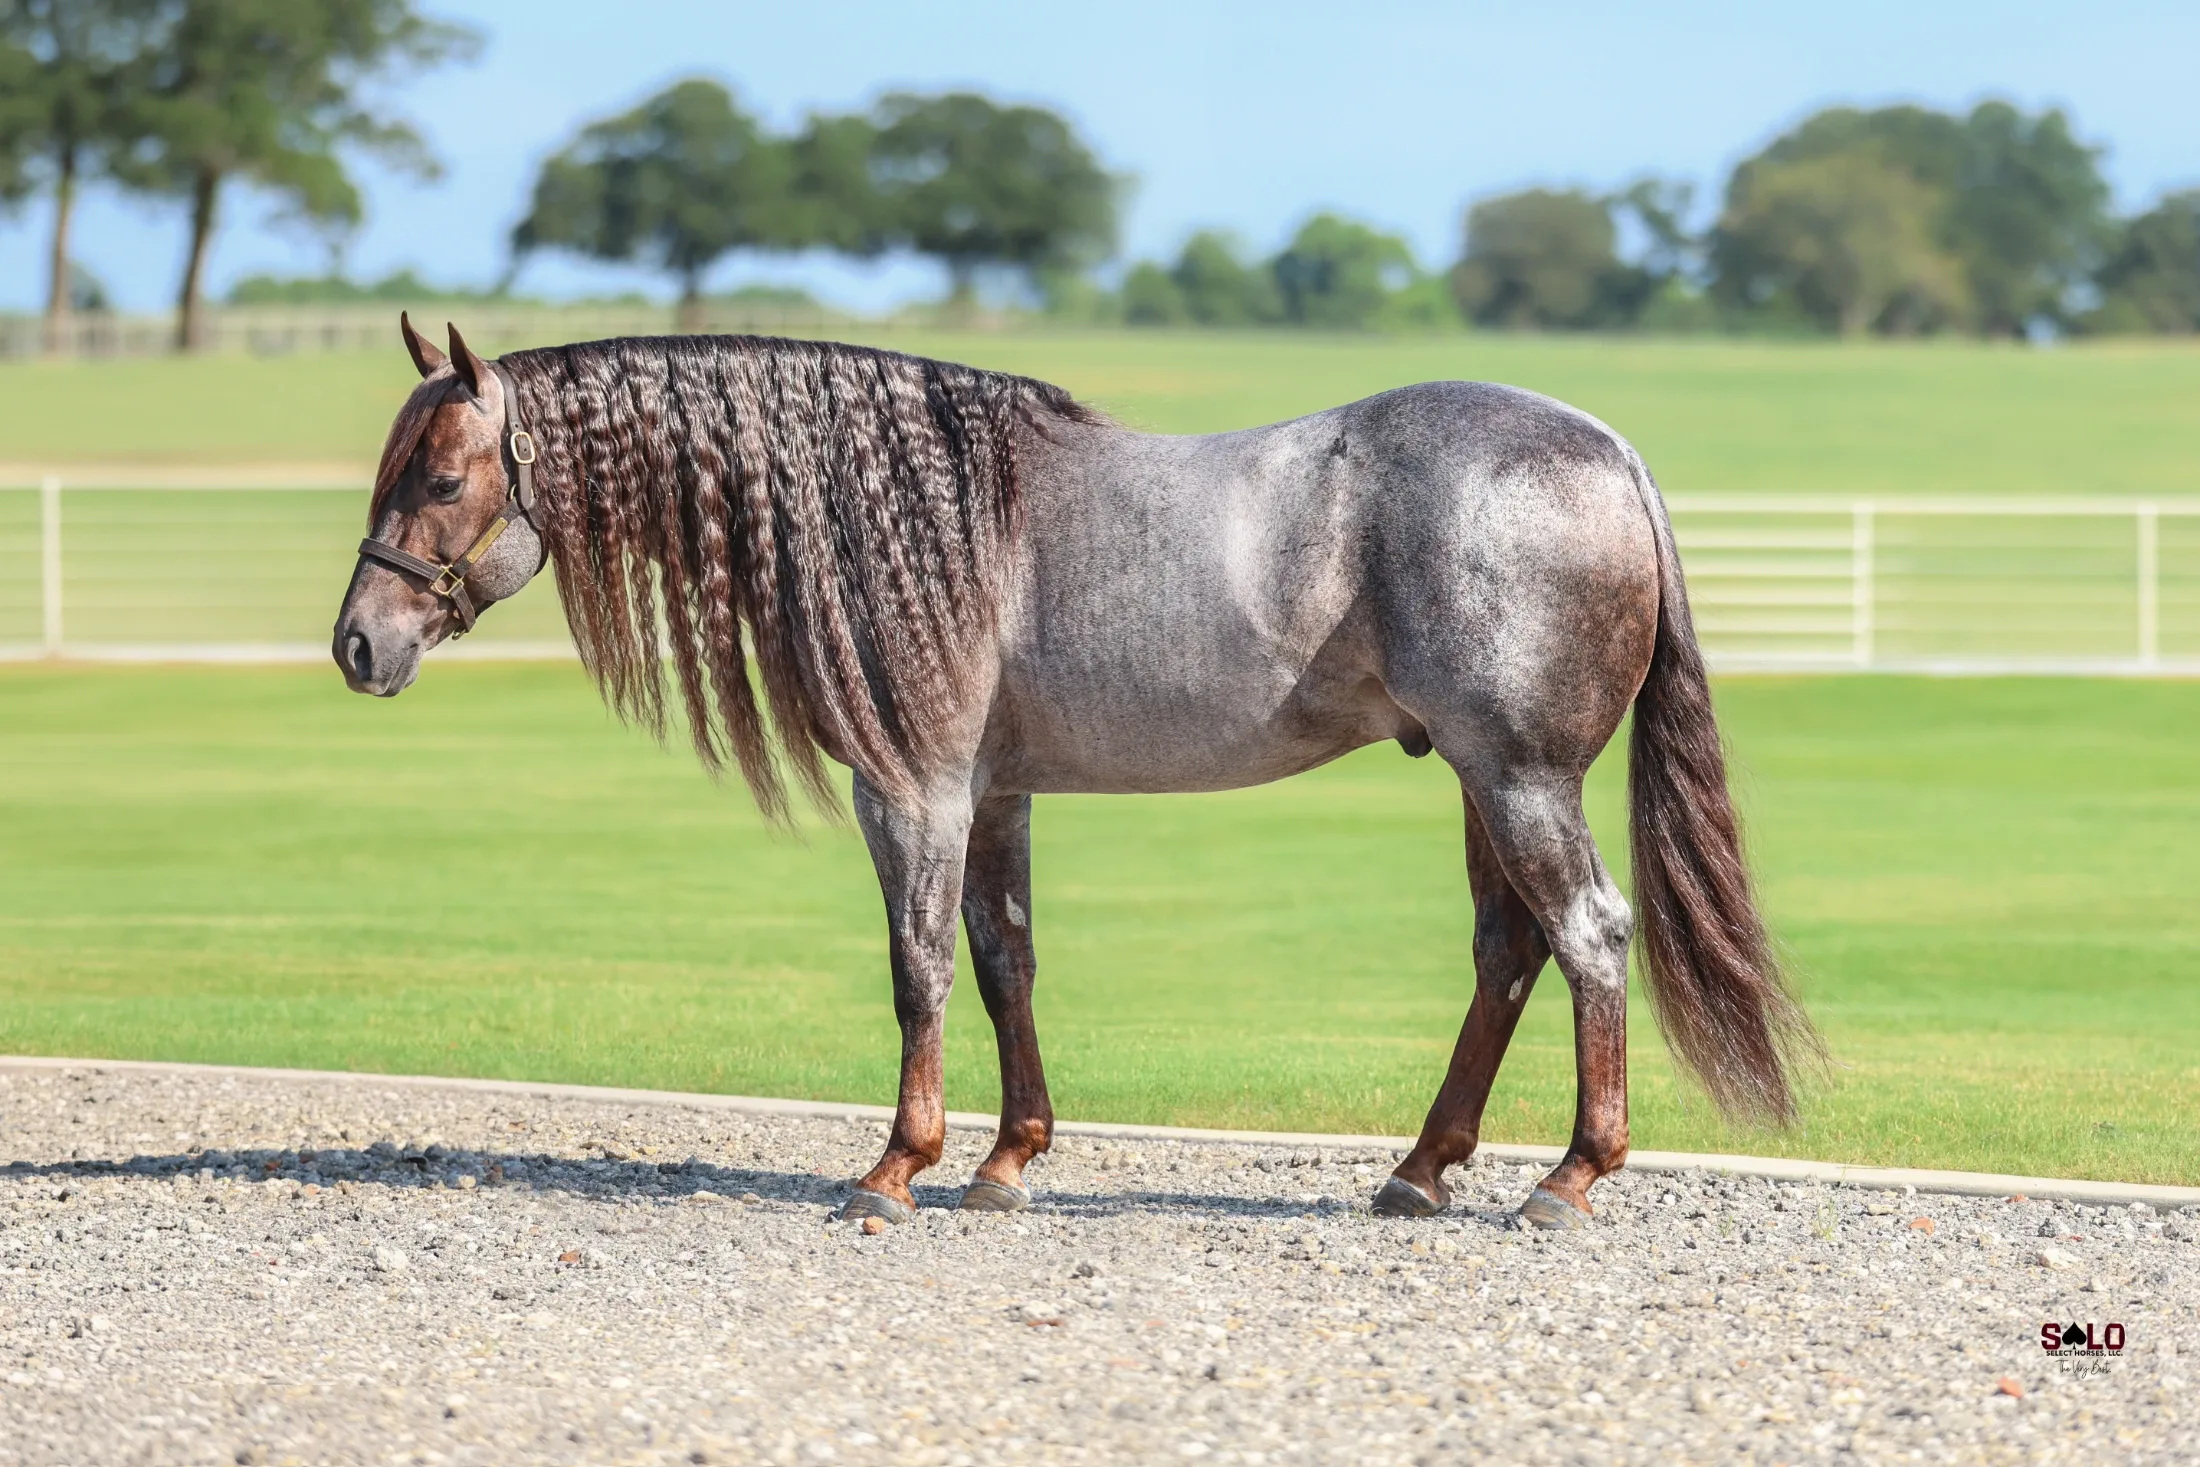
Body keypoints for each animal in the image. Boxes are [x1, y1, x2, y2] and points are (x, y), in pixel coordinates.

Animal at [333, 316, 1819, 1230]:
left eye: (444, 476)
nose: (357, 642)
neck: (909, 517)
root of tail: (1606, 451)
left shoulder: (914, 790)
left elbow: (920, 966)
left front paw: (897, 1166)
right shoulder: (996, 792)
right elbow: (1008, 960)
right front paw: (1007, 1158)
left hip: (1520, 775)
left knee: (1589, 932)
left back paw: (1568, 1177)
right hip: (1476, 777)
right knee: (1510, 948)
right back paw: (1419, 1170)